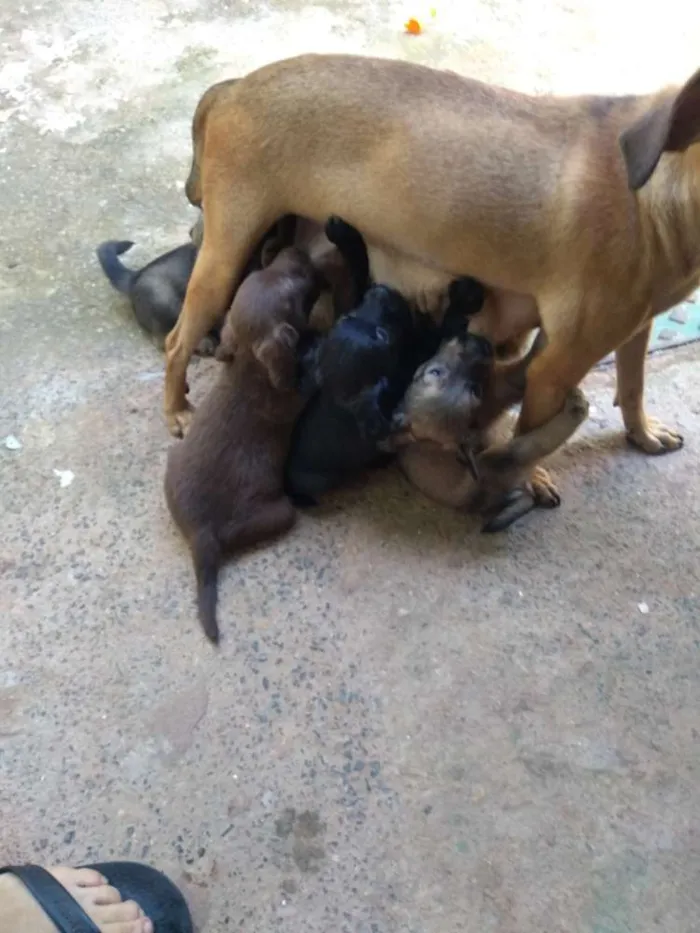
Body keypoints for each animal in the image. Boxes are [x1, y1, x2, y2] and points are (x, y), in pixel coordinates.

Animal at [163, 52, 696, 512]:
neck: (651, 199)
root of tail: (233, 89)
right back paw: (177, 409)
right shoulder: (556, 365)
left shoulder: (636, 325)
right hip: (224, 256)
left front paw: (643, 433)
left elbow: (632, 384)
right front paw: (533, 477)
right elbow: (528, 433)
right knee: (176, 341)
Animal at [164, 244, 320, 644]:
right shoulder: (294, 396)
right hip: (278, 512)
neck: (249, 365)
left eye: (261, 272)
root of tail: (200, 535)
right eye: (291, 290)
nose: (296, 247)